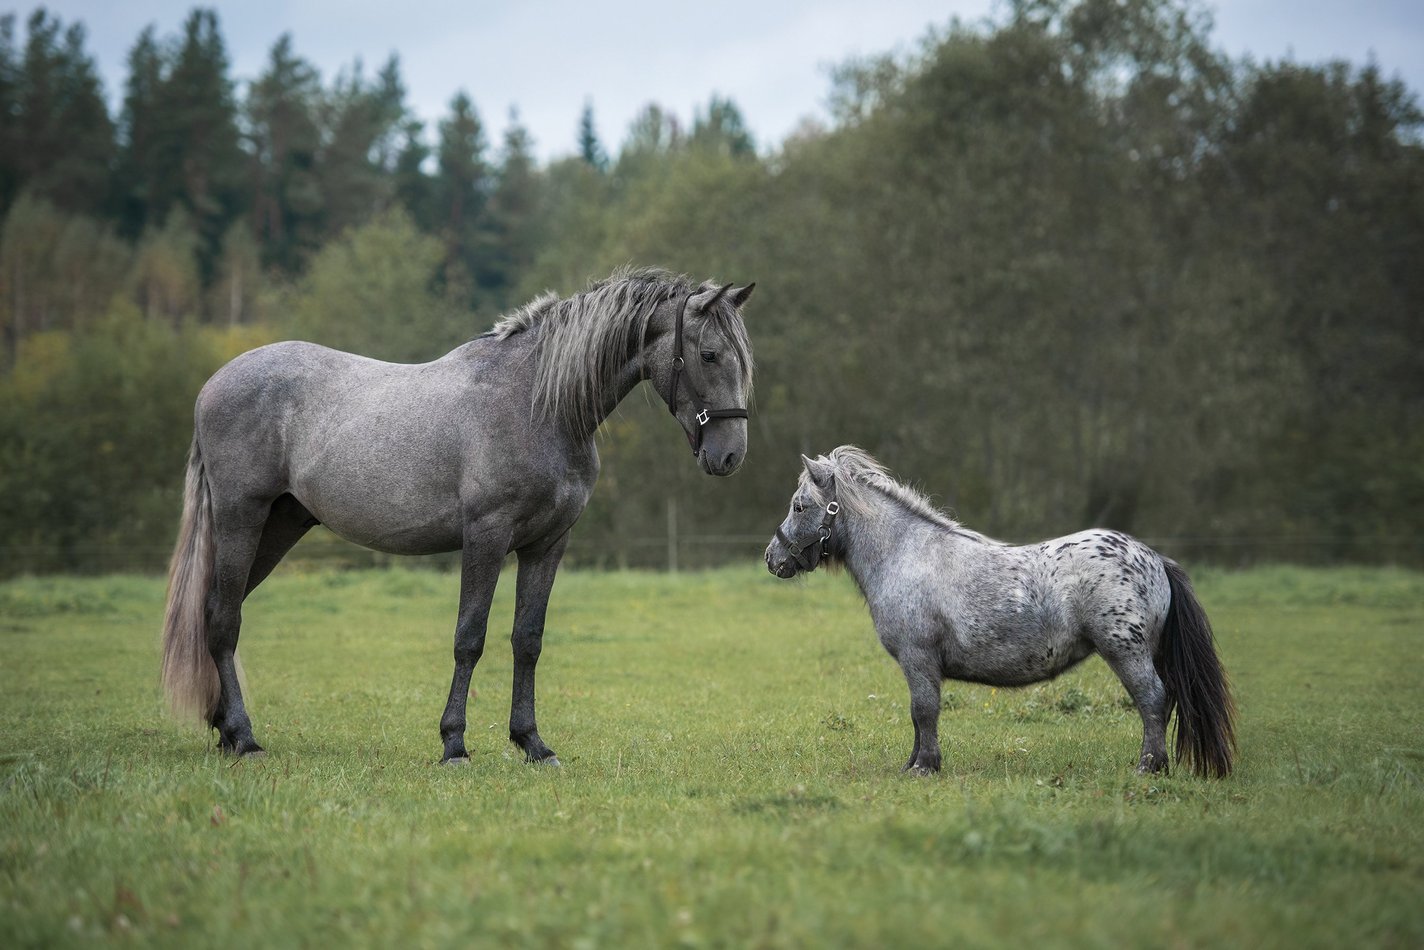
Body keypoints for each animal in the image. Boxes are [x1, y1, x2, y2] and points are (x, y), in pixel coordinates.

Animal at [163, 267, 757, 763]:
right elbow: (470, 637)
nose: (730, 456)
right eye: (708, 355)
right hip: (241, 519)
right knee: (223, 619)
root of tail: (212, 385)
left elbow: (528, 640)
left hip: (278, 526)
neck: (537, 403)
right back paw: (244, 738)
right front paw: (454, 744)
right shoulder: (486, 537)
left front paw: (532, 743)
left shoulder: (548, 544)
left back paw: (224, 729)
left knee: (219, 611)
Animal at [768, 447, 1236, 780]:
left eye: (798, 505)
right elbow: (920, 717)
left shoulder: (918, 659)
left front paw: (924, 767)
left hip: (1126, 652)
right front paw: (914, 763)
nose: (773, 558)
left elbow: (923, 711)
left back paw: (1148, 767)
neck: (906, 554)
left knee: (1153, 699)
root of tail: (1155, 559)